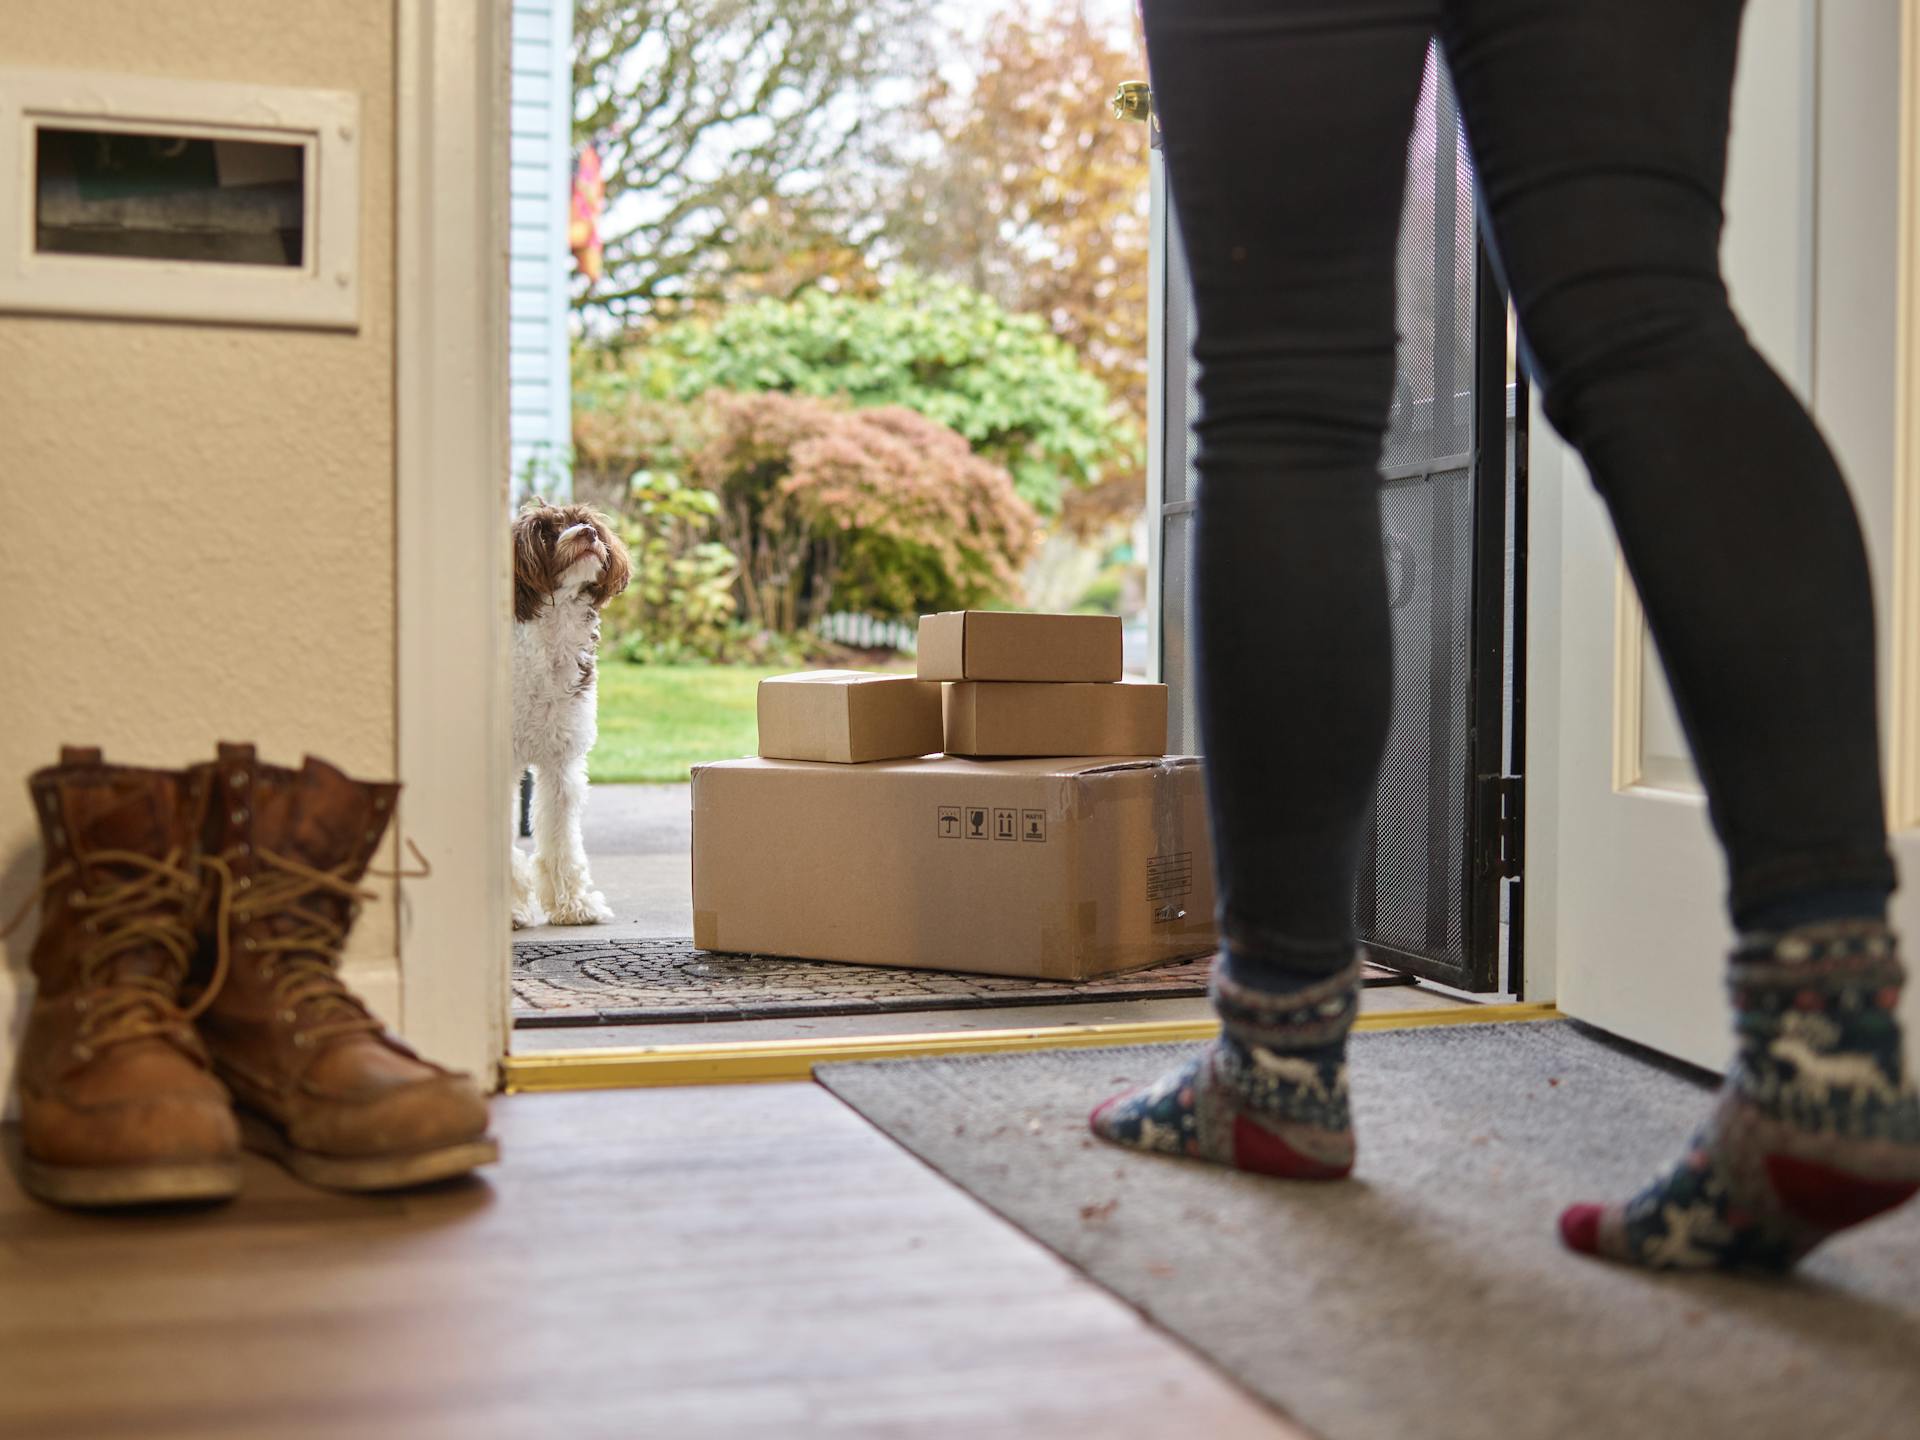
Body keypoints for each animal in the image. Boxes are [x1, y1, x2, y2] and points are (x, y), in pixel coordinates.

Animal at [510, 503, 629, 929]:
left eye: (585, 521)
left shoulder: (560, 761)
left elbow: (561, 840)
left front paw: (573, 905)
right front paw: (511, 911)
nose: (588, 535)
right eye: (546, 533)